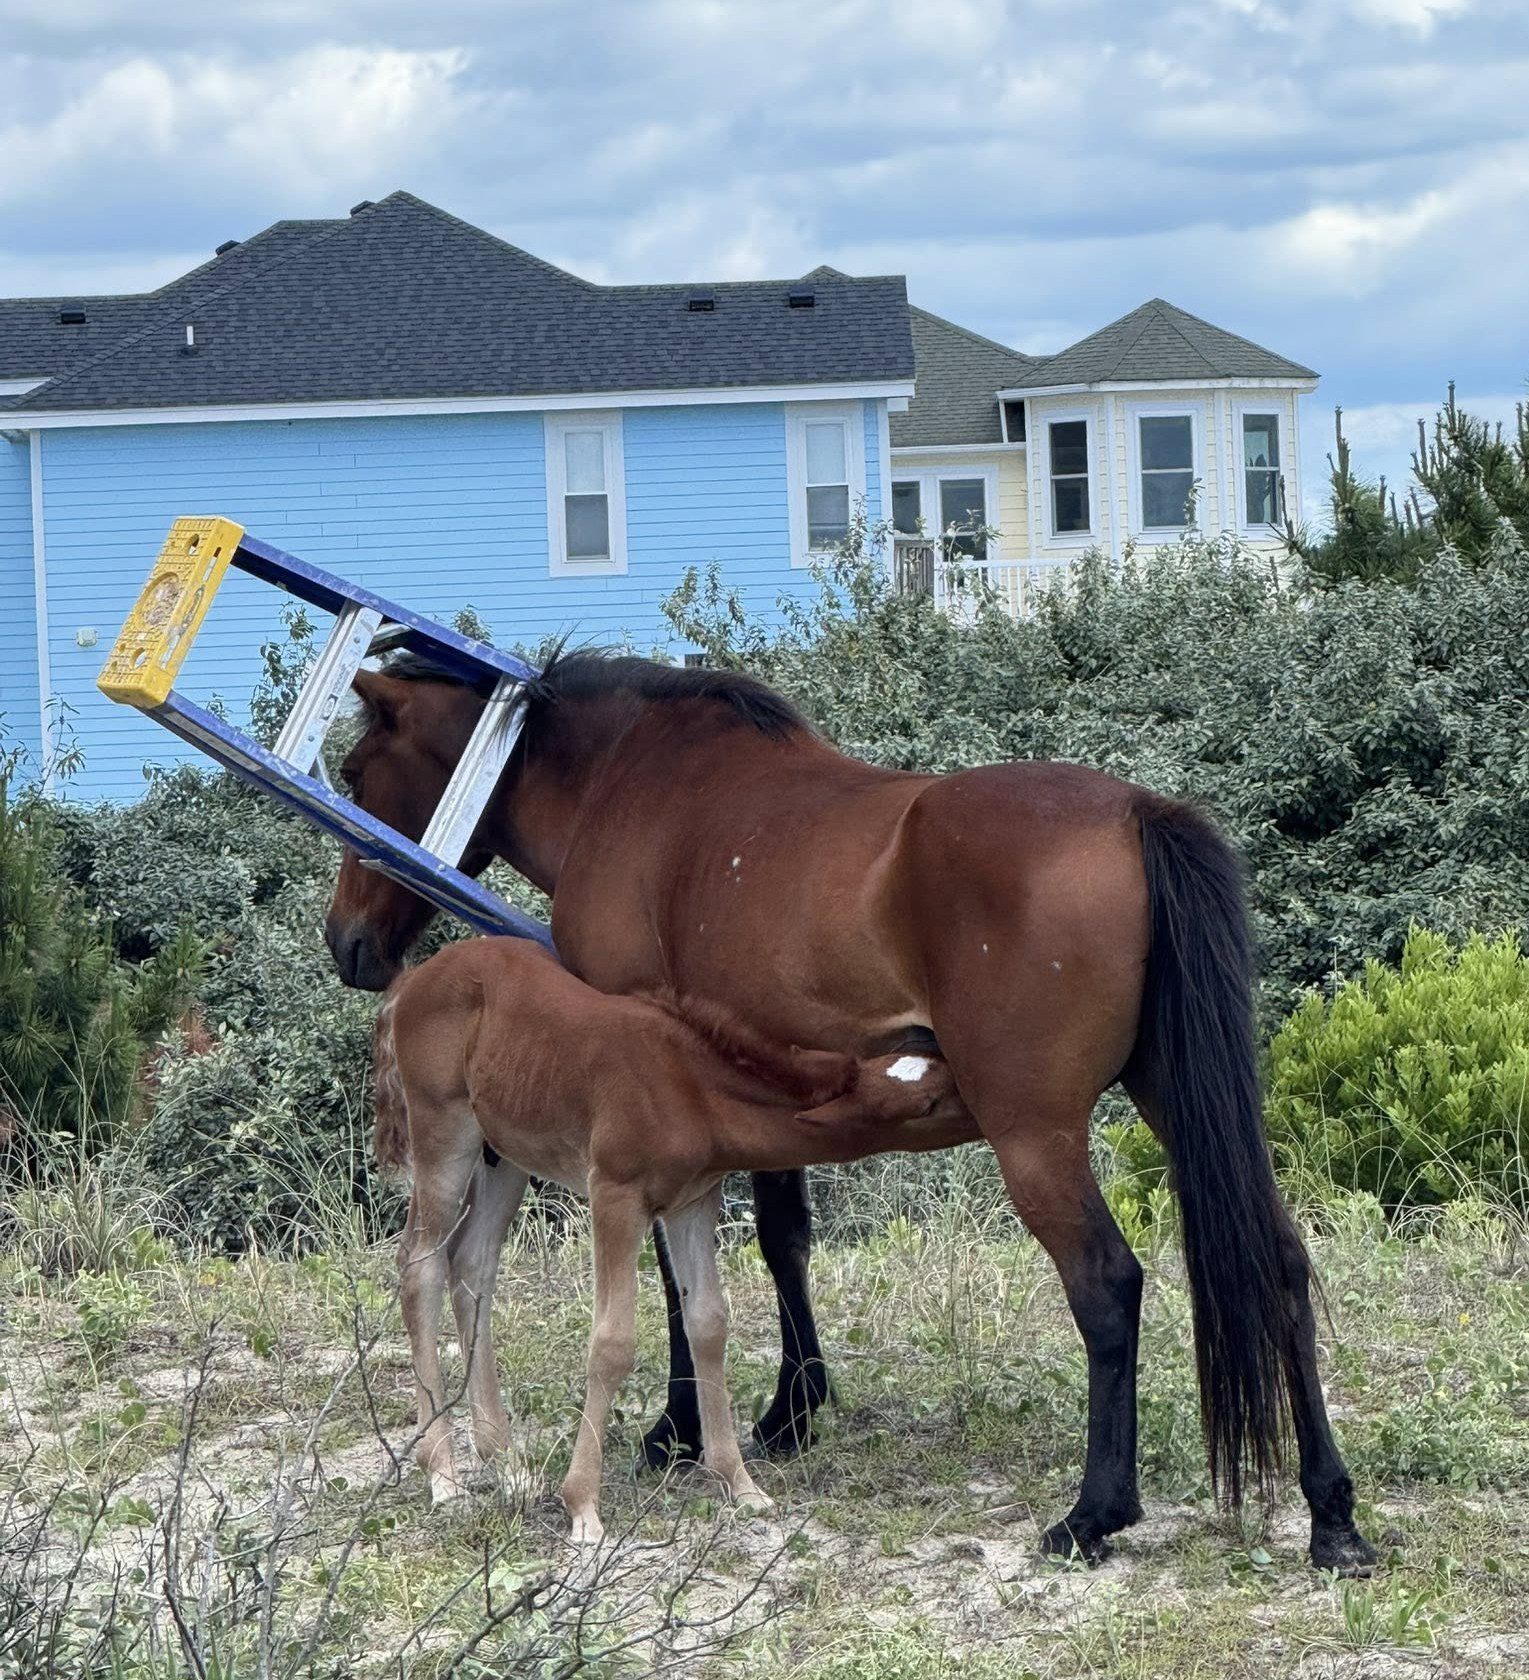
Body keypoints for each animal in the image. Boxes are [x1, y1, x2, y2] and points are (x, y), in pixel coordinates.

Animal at [371, 933, 969, 1543]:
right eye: (928, 1104)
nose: (981, 1100)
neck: (689, 1087)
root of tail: (412, 980)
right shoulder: (615, 1196)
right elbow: (611, 1342)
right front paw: (583, 1506)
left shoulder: (691, 1203)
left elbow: (708, 1323)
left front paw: (740, 1484)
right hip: (443, 1131)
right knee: (420, 1265)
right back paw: (444, 1476)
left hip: (506, 1153)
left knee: (472, 1262)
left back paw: (506, 1462)